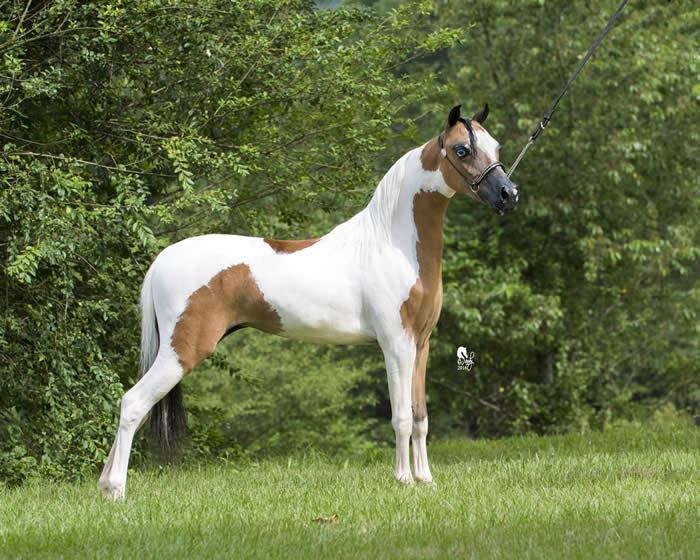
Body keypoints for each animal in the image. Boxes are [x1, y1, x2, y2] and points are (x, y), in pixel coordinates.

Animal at [98, 104, 519, 500]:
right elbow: (400, 417)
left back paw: (104, 486)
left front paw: (425, 480)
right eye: (462, 150)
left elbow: (420, 418)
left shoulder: (421, 344)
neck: (393, 243)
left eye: (496, 147)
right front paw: (403, 481)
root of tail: (162, 259)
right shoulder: (395, 345)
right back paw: (117, 491)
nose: (508, 194)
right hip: (181, 352)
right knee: (131, 403)